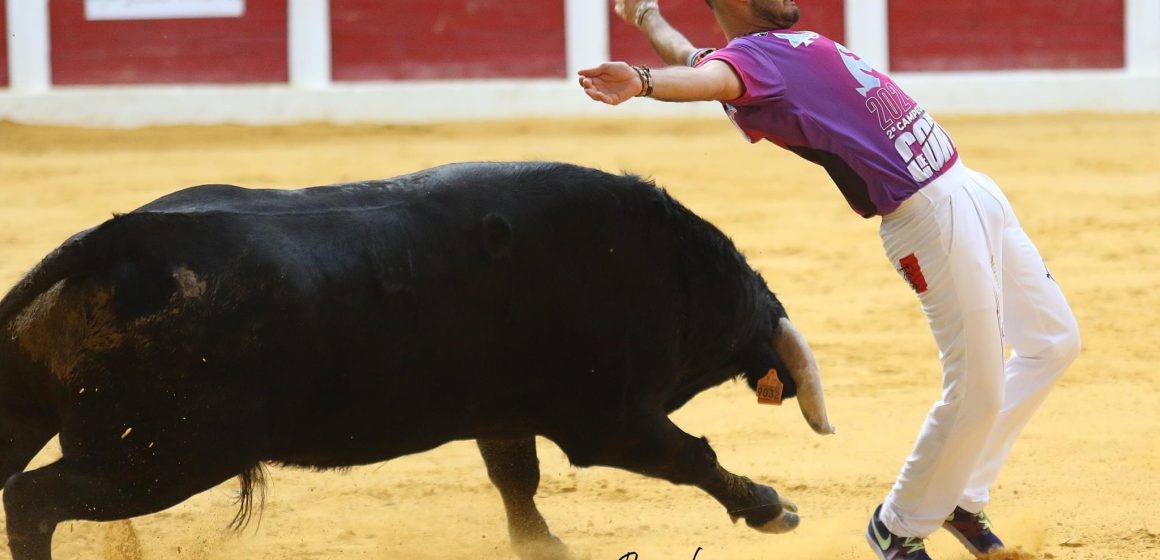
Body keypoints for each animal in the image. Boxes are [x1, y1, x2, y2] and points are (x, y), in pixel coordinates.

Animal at [0, 160, 835, 558]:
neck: (671, 269)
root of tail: (121, 239)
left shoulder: (506, 409)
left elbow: (514, 478)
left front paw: (543, 547)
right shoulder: (609, 419)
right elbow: (690, 455)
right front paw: (774, 509)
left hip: (54, 415)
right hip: (168, 454)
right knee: (33, 498)